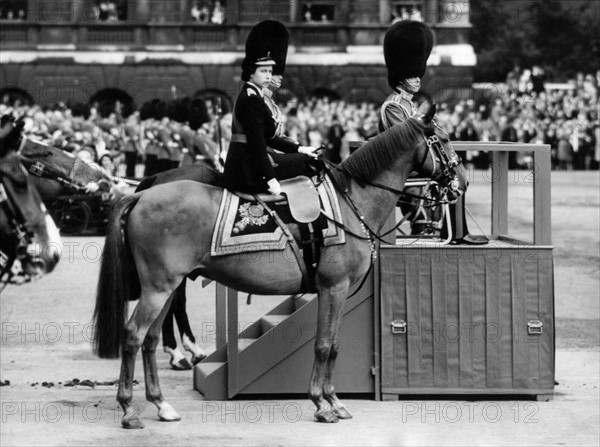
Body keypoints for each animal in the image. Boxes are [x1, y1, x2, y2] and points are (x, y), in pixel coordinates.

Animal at [94, 107, 468, 428]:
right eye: (444, 138)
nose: (462, 182)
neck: (351, 200)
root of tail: (142, 194)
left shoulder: (335, 289)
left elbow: (332, 344)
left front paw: (331, 401)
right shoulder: (335, 286)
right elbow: (325, 345)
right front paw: (324, 403)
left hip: (167, 286)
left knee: (151, 338)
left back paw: (161, 403)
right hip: (159, 288)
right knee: (133, 335)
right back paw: (129, 409)